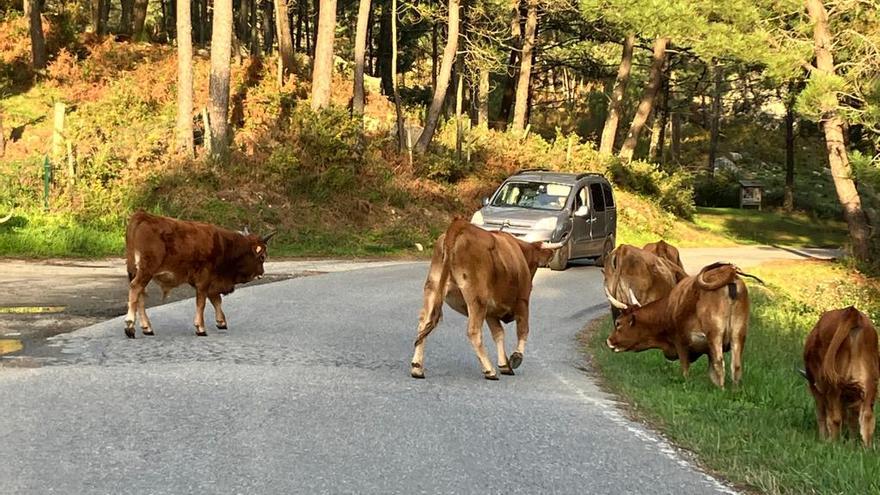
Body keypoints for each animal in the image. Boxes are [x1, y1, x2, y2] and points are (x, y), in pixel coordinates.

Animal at [124, 211, 274, 340]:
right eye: (262, 256)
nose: (262, 273)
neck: (225, 245)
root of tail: (143, 216)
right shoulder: (204, 280)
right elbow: (202, 302)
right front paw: (200, 328)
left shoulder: (212, 282)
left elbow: (216, 300)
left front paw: (221, 321)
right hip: (146, 271)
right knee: (136, 288)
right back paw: (130, 326)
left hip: (136, 271)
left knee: (140, 295)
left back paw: (147, 328)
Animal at [410, 220, 560, 380]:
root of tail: (460, 227)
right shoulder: (522, 301)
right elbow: (523, 330)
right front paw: (516, 357)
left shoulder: (490, 312)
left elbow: (499, 334)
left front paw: (504, 365)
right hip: (477, 299)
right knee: (473, 331)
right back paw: (489, 370)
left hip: (433, 289)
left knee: (423, 324)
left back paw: (417, 368)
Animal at [604, 262, 756, 390]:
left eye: (618, 323)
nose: (609, 340)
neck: (669, 308)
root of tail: (731, 274)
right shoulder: (707, 351)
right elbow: (712, 374)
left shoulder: (681, 343)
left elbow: (685, 370)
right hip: (739, 333)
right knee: (736, 366)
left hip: (715, 333)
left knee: (720, 363)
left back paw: (722, 391)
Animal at [800, 308, 876, 448]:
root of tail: (853, 313)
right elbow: (853, 418)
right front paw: (851, 443)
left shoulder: (815, 387)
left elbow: (821, 413)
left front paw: (822, 438)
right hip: (870, 382)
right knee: (867, 416)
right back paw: (866, 448)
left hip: (833, 385)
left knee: (835, 418)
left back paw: (832, 443)